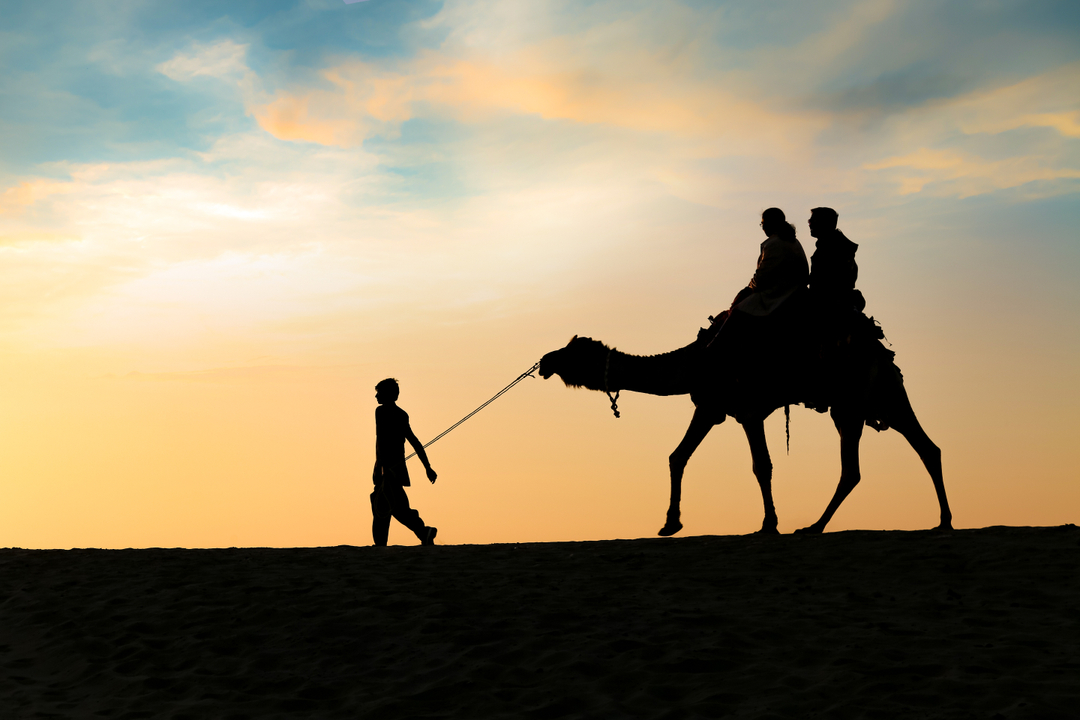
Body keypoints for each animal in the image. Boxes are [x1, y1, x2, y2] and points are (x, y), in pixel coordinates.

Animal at [535, 325, 950, 535]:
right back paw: (943, 521)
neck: (695, 361)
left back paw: (813, 527)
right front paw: (670, 523)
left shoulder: (748, 410)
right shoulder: (710, 407)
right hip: (884, 395)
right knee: (928, 448)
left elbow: (761, 466)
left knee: (855, 468)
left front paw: (769, 525)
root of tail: (882, 351)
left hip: (851, 404)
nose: (545, 361)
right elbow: (677, 456)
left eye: (573, 352)